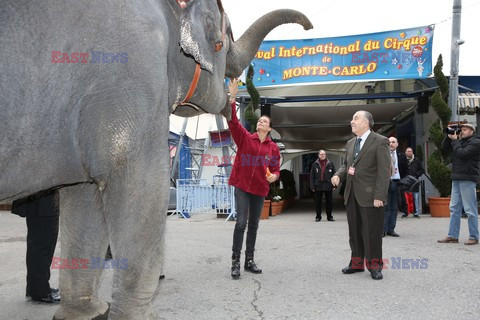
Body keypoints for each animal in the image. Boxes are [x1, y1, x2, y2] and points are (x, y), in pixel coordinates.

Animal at [0, 1, 314, 318]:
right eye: (225, 41)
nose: (308, 26)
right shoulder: (134, 79)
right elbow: (144, 189)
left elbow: (84, 200)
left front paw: (89, 312)